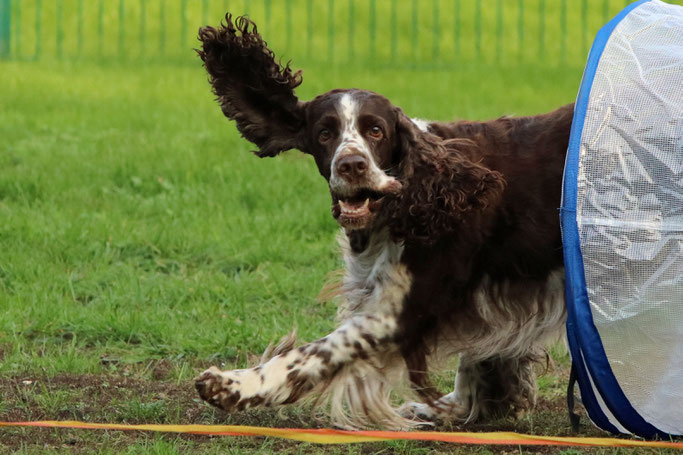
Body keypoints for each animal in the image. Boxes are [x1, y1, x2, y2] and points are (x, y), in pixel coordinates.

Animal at [195, 13, 576, 428]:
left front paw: (237, 385)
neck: (418, 191)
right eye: (324, 133)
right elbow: (479, 360)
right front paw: (458, 407)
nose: (352, 165)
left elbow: (318, 351)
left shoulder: (398, 310)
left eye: (375, 130)